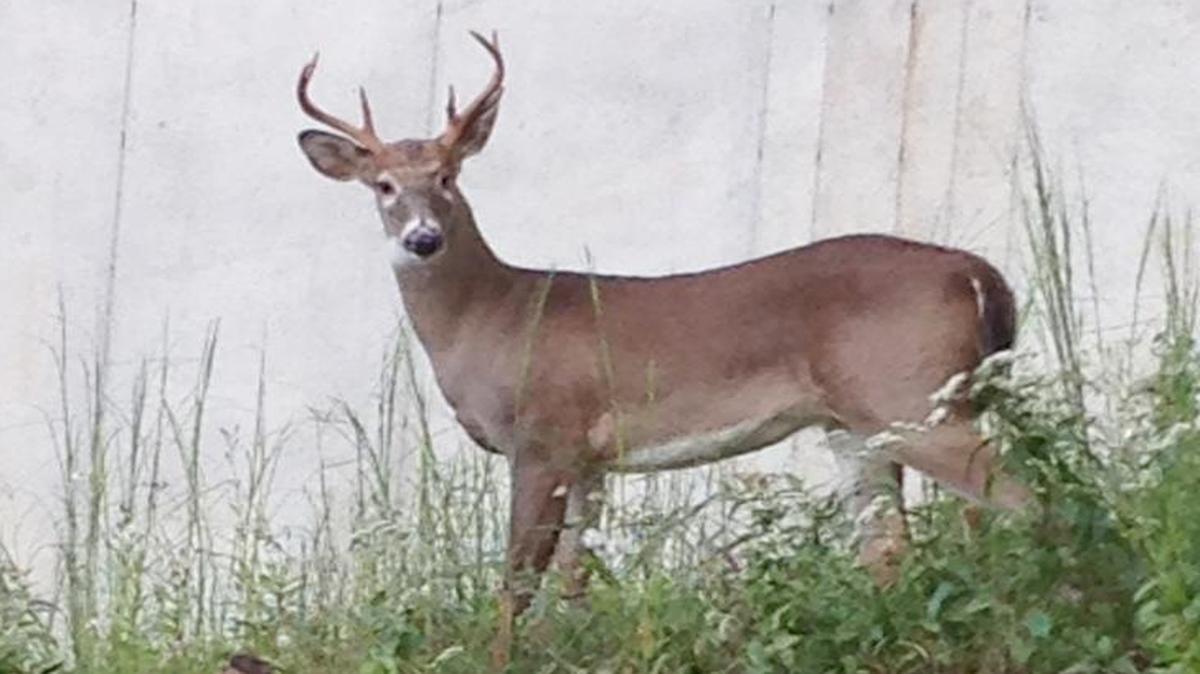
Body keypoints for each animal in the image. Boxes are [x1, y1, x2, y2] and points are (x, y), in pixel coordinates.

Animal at [296, 31, 1031, 668]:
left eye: (448, 176)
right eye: (384, 186)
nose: (423, 238)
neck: (496, 314)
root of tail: (976, 271)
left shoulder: (543, 437)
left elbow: (516, 582)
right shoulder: (590, 461)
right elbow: (574, 580)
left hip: (915, 398)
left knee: (1018, 503)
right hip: (858, 426)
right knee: (890, 549)